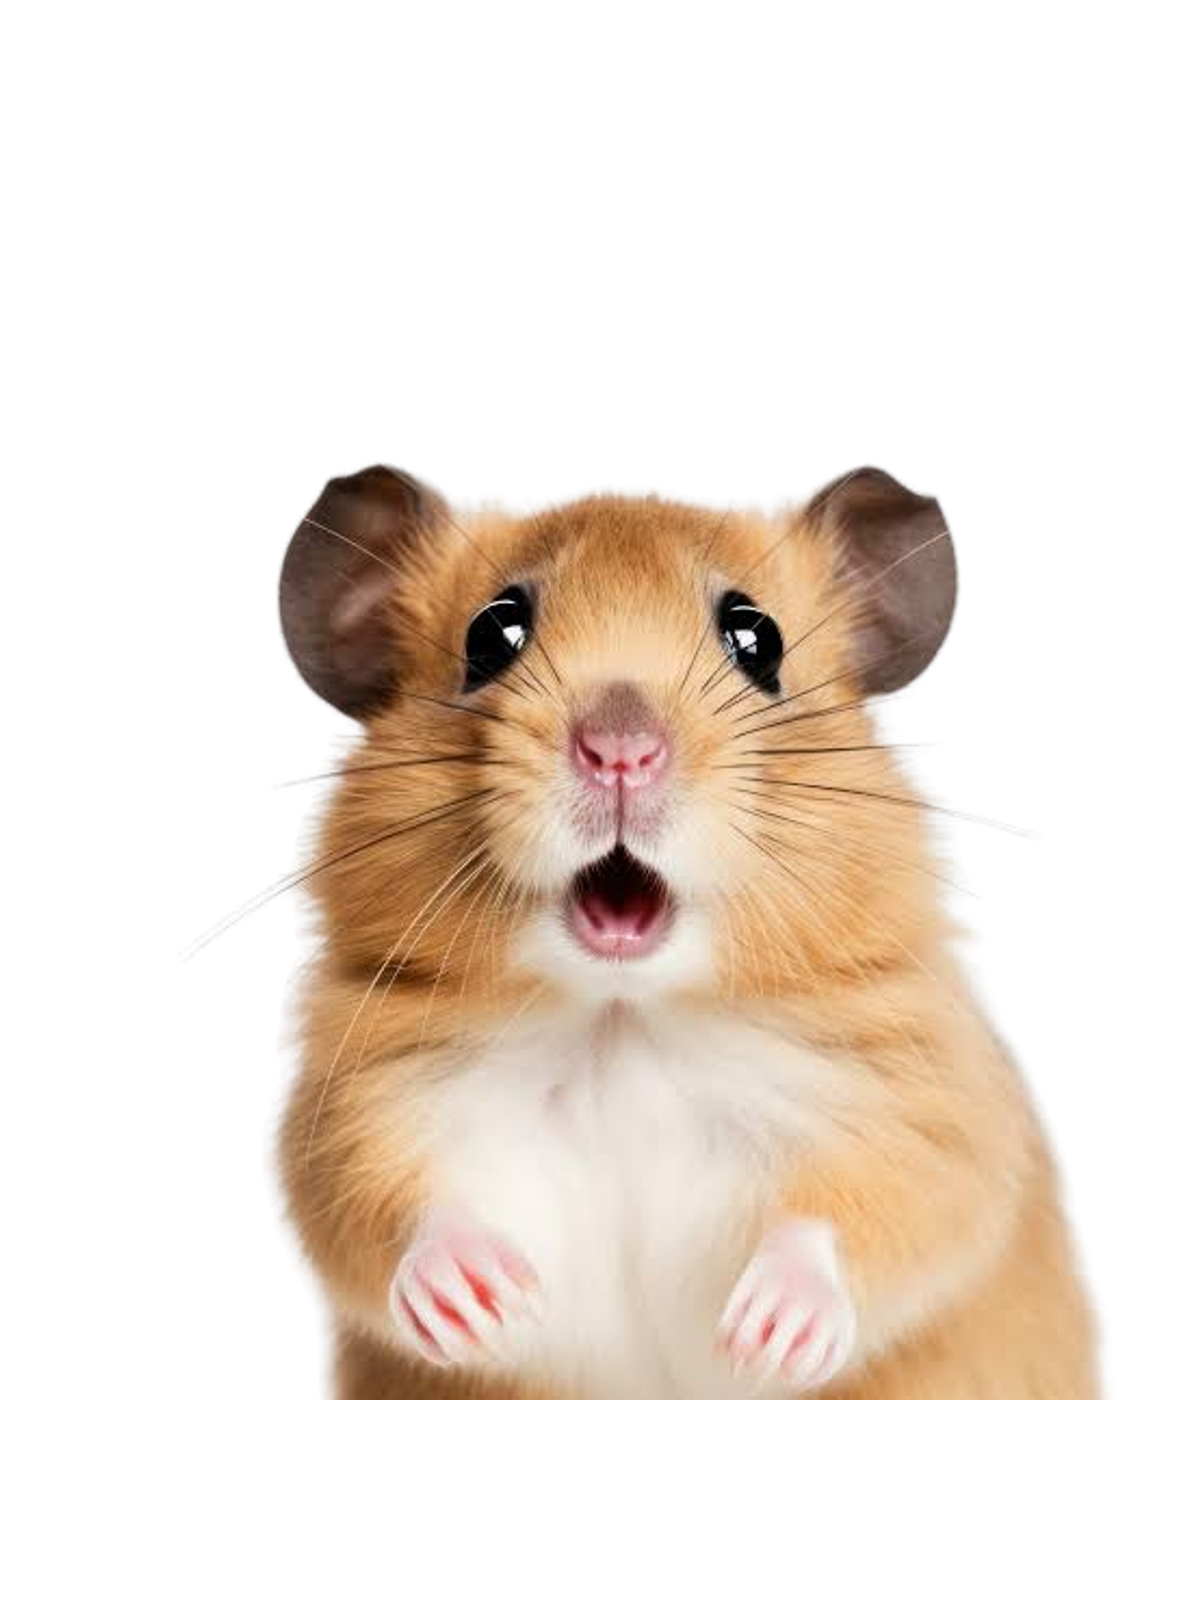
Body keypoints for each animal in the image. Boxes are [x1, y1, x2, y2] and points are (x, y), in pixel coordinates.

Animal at [263, 464, 1110, 1401]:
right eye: (493, 635)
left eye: (756, 640)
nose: (620, 753)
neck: (623, 1023)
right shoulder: (348, 1117)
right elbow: (384, 1208)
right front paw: (484, 1303)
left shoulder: (930, 1115)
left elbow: (873, 1210)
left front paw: (764, 1336)